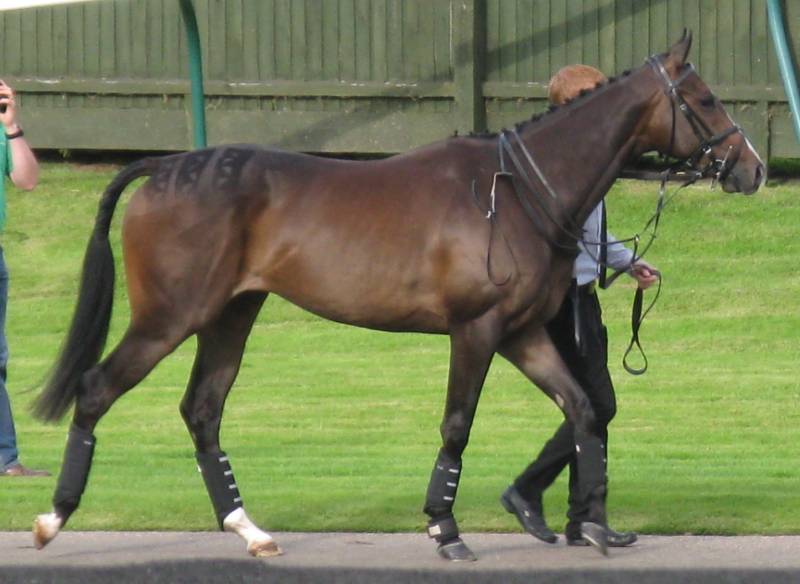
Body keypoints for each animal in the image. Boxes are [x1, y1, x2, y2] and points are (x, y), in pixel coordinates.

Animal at [31, 32, 762, 561]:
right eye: (703, 99)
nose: (752, 168)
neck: (516, 191)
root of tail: (166, 166)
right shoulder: (477, 330)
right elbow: (458, 425)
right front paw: (445, 527)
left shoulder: (522, 333)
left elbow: (583, 408)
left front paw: (595, 525)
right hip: (170, 317)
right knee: (97, 390)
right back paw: (52, 518)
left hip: (230, 314)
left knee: (203, 410)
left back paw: (249, 530)